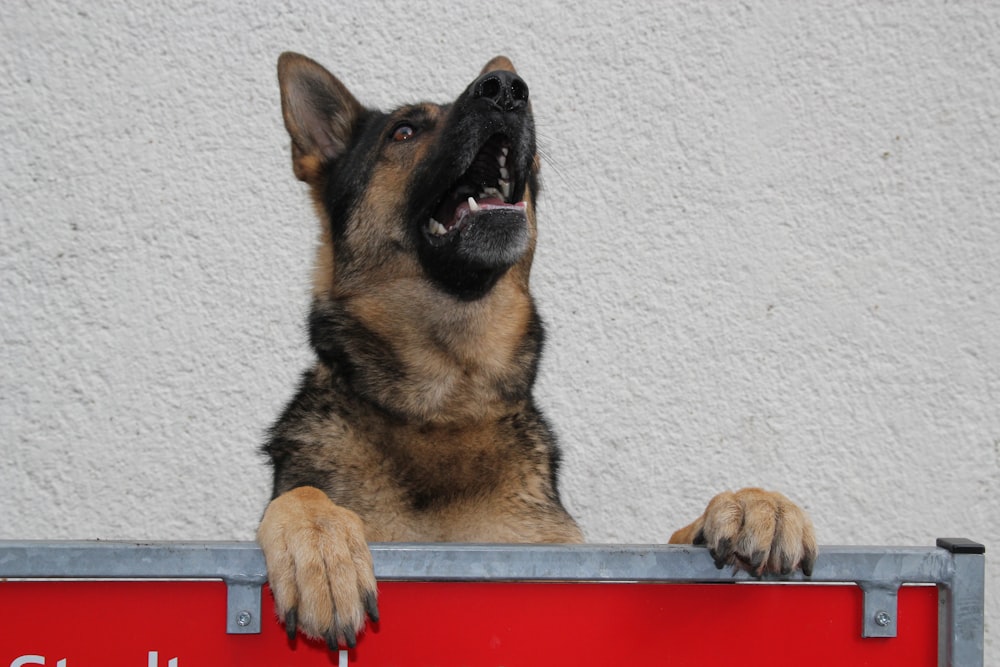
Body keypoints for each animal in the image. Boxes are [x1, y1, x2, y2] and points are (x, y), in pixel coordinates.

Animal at [260, 54, 820, 648]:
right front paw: (319, 539)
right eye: (404, 132)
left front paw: (748, 502)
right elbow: (297, 498)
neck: (446, 401)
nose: (506, 89)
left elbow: (672, 536)